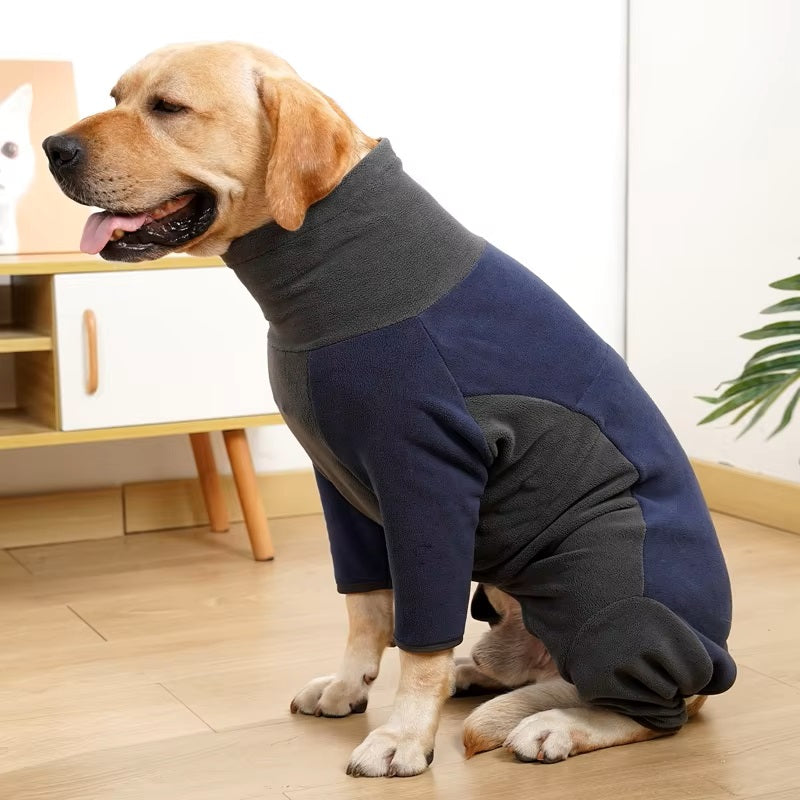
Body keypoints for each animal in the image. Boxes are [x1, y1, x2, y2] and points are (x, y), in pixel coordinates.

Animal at [43, 40, 732, 780]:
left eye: (168, 107)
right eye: (115, 97)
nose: (52, 148)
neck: (328, 258)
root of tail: (715, 663)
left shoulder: (425, 482)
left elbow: (421, 637)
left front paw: (404, 735)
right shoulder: (341, 487)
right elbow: (368, 608)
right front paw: (351, 686)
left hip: (602, 586)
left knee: (649, 711)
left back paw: (559, 724)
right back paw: (485, 676)